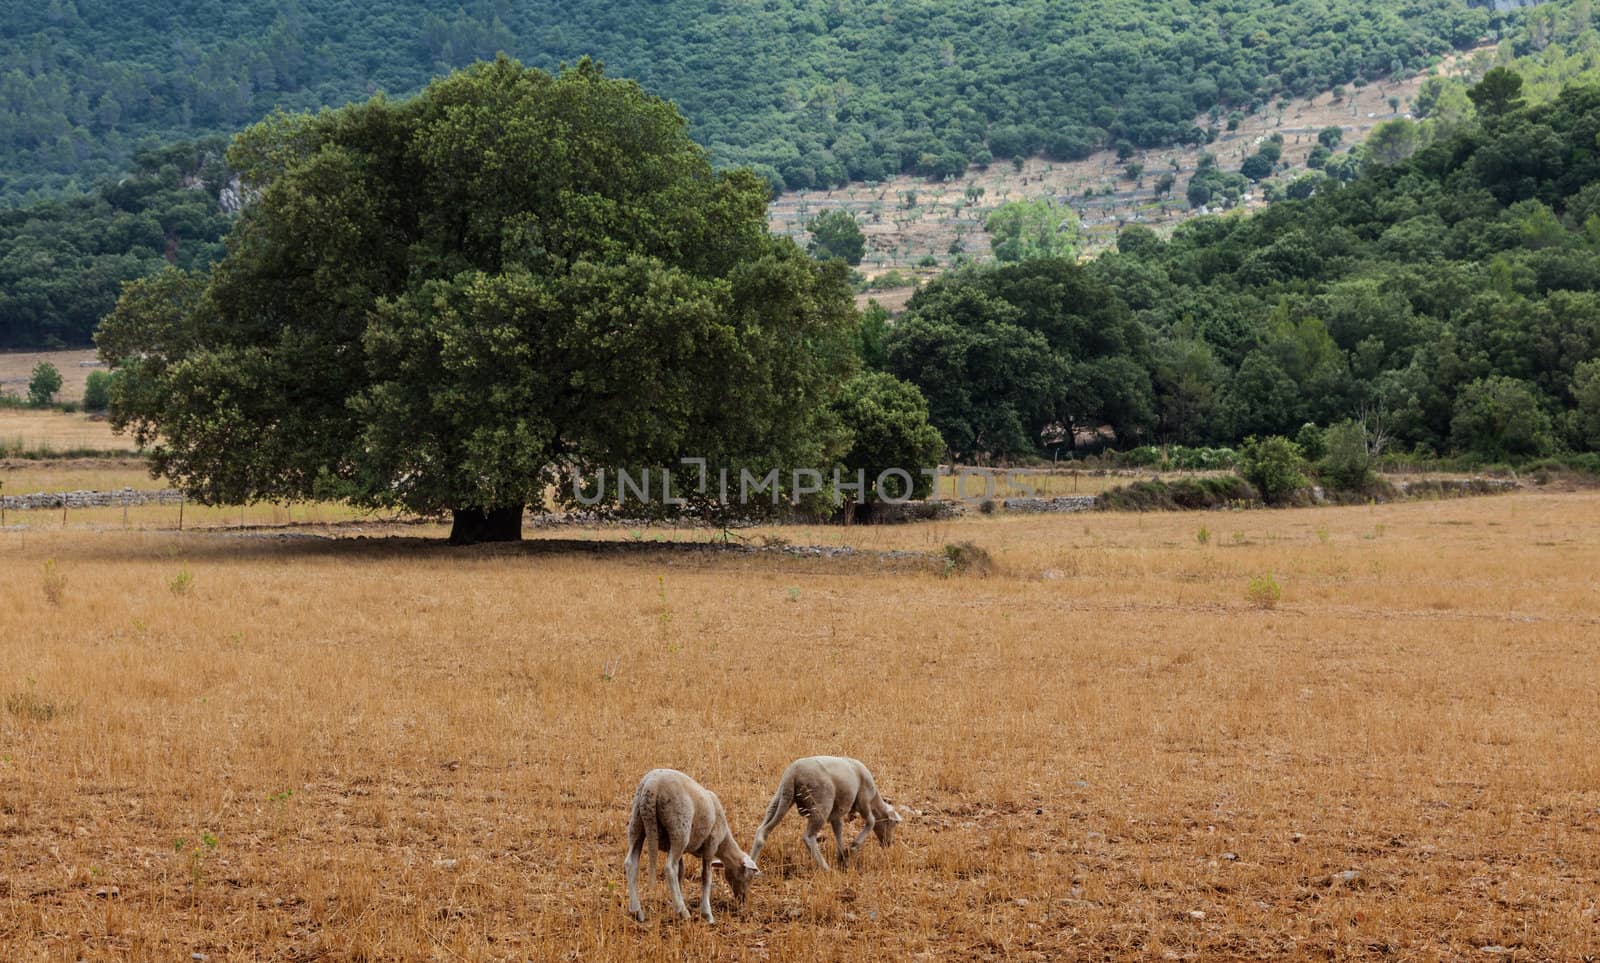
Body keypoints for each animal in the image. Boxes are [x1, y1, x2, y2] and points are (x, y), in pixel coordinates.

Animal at [620, 767, 758, 921]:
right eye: (750, 876)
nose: (743, 899)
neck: (724, 843)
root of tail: (652, 785)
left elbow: (681, 872)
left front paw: (676, 900)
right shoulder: (711, 845)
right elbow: (706, 877)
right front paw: (707, 914)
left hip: (637, 822)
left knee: (631, 862)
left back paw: (636, 911)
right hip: (679, 829)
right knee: (669, 867)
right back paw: (683, 912)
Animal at [745, 755, 902, 863]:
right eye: (893, 823)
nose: (888, 844)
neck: (875, 800)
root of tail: (792, 774)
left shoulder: (836, 813)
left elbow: (838, 830)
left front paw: (842, 856)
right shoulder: (863, 801)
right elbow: (871, 821)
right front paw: (852, 847)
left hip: (781, 798)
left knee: (762, 831)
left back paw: (751, 867)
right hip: (821, 803)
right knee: (808, 837)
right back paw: (825, 868)